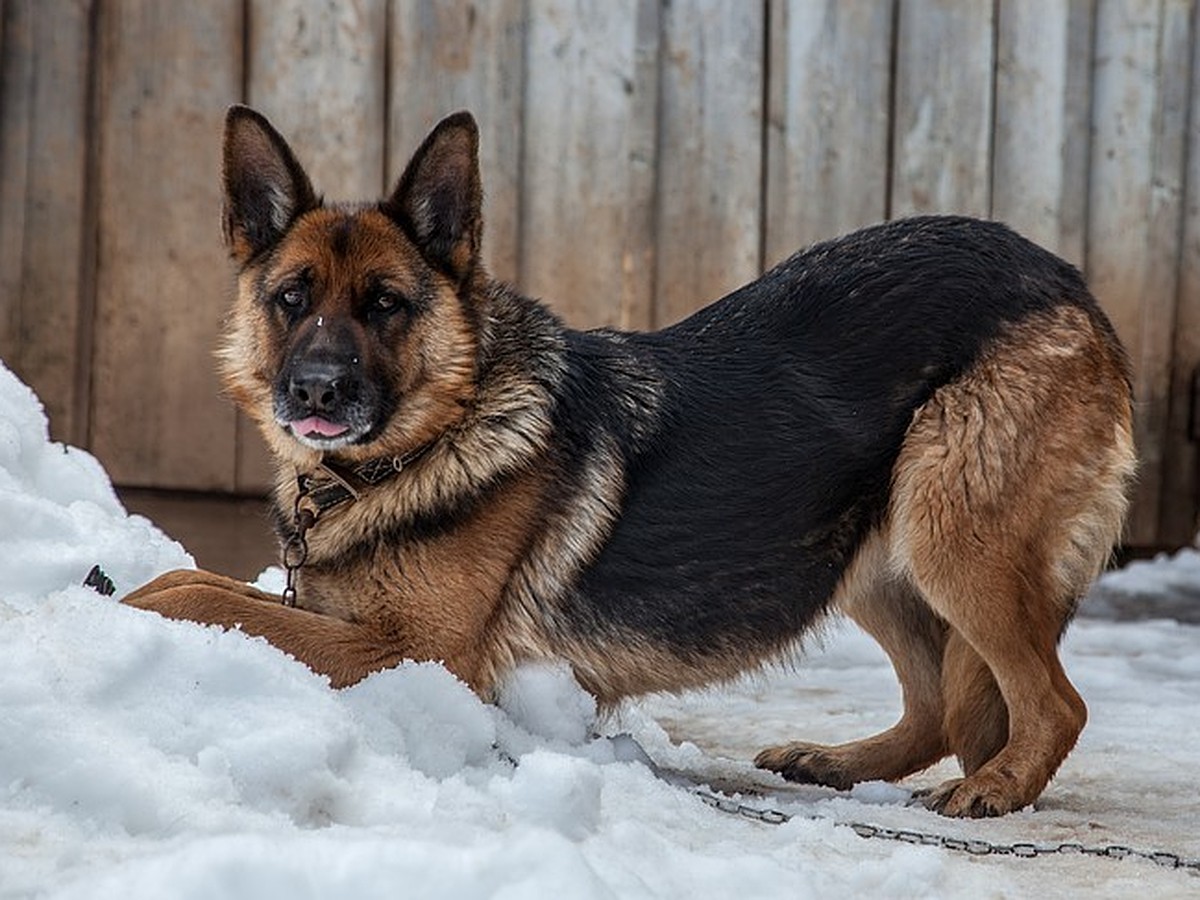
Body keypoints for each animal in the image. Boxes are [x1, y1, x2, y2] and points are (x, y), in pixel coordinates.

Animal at [126, 105, 1137, 816]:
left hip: (945, 525)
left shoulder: (415, 655)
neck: (438, 436)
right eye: (292, 298)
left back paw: (996, 788)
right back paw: (838, 761)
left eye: (385, 305)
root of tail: (1065, 279)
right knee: (936, 710)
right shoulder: (339, 614)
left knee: (1056, 704)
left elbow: (207, 599)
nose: (318, 393)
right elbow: (199, 582)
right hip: (863, 541)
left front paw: (114, 611)